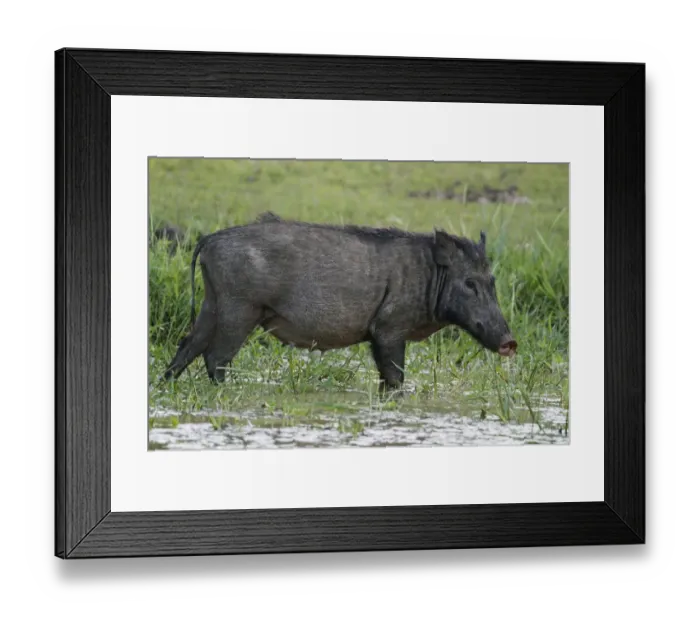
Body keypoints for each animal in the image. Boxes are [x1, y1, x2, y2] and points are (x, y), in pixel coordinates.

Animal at [162, 219, 517, 391]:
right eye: (469, 283)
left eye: (492, 281)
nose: (510, 342)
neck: (429, 278)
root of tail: (209, 239)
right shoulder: (389, 329)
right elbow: (394, 377)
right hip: (239, 309)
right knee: (215, 357)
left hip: (212, 303)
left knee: (187, 346)